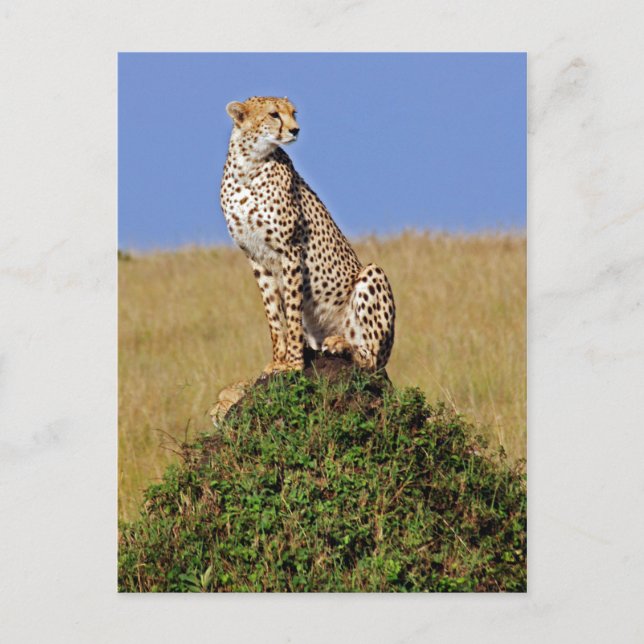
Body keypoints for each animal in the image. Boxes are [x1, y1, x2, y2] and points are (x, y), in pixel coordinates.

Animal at [219, 96, 395, 374]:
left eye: (293, 113)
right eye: (273, 114)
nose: (295, 130)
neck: (249, 164)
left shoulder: (290, 250)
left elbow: (292, 311)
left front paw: (293, 363)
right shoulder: (255, 257)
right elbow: (274, 316)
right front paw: (277, 361)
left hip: (372, 275)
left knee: (371, 359)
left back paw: (344, 346)